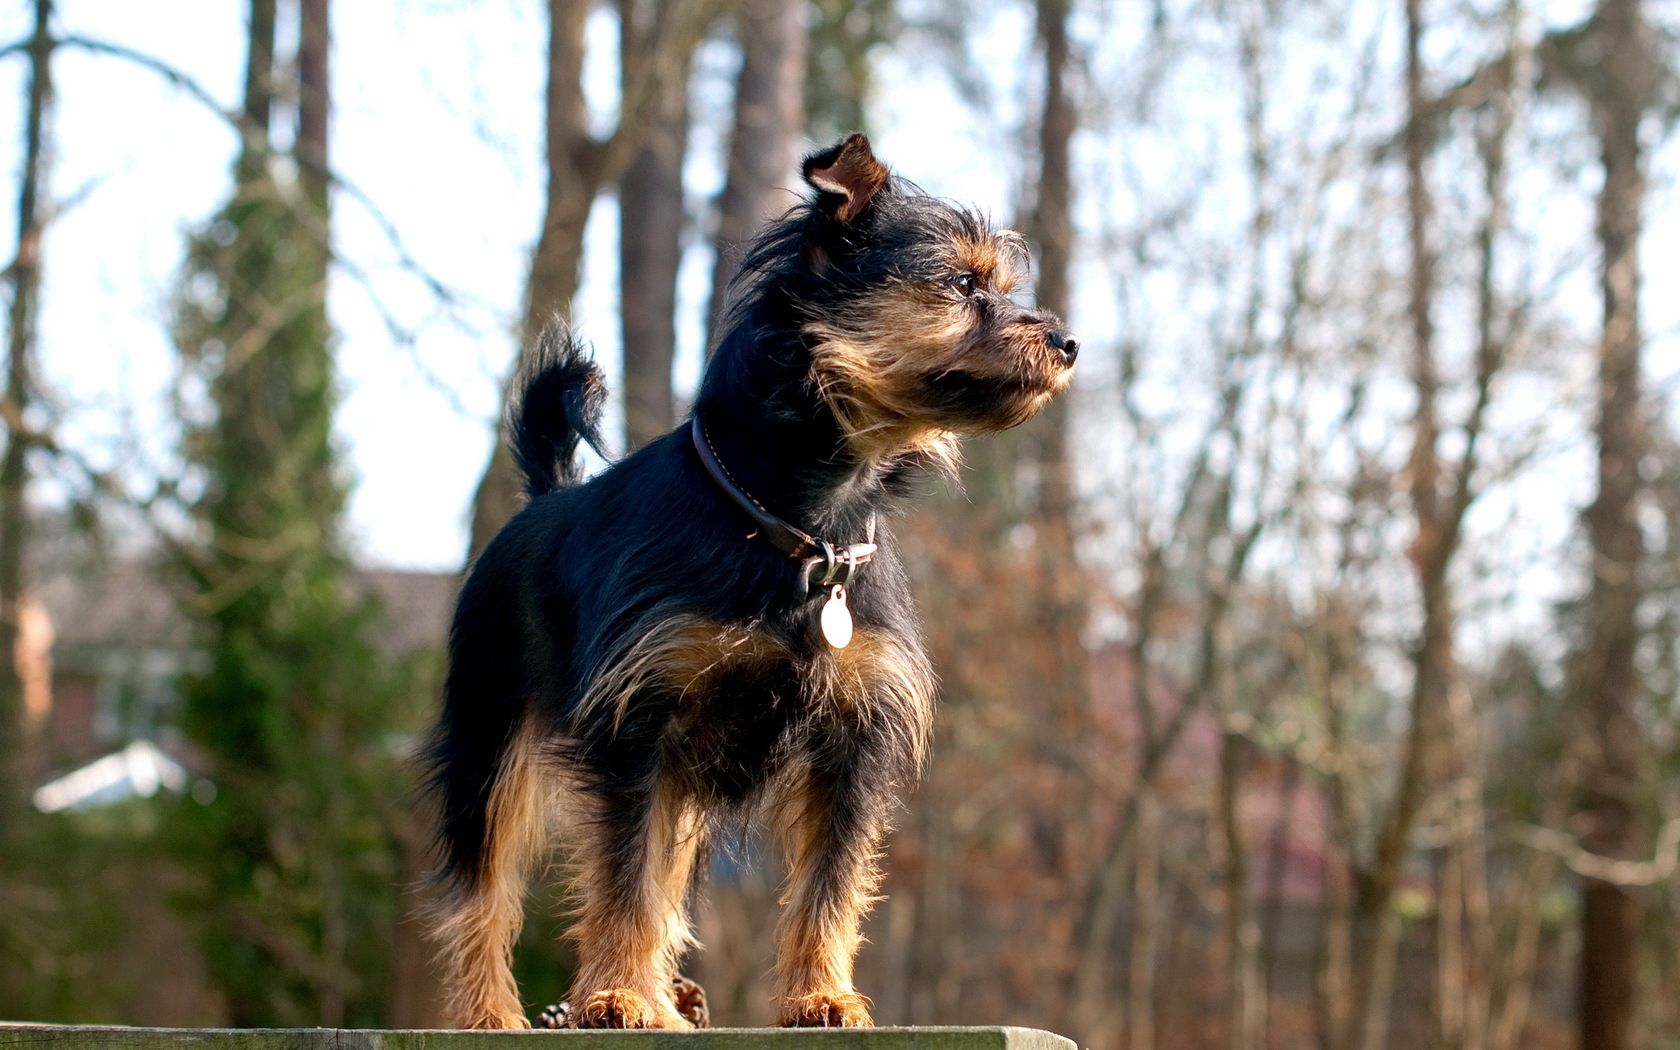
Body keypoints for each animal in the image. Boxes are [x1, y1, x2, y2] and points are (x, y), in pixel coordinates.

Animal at [420, 135, 1075, 1028]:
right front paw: (616, 993)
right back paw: (494, 1012)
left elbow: (827, 884)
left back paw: (670, 999)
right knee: (483, 891)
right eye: (963, 285)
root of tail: (546, 496)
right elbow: (623, 878)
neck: (807, 528)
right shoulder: (636, 734)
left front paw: (821, 993)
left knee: (666, 885)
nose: (1068, 343)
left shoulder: (853, 745)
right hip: (492, 749)